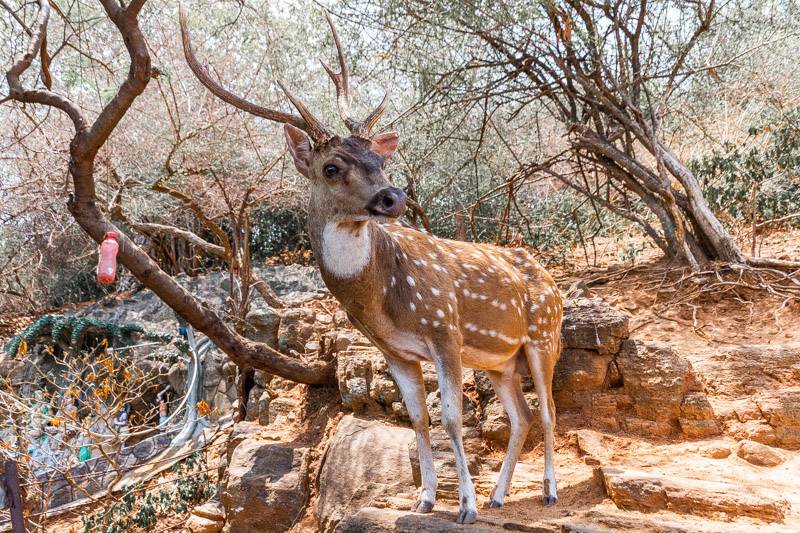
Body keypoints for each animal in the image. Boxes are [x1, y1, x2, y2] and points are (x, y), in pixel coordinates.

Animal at [179, 7, 563, 524]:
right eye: (331, 168)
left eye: (378, 159)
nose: (393, 196)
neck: (382, 298)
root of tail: (552, 280)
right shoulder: (394, 350)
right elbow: (419, 418)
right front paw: (426, 499)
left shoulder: (444, 327)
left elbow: (451, 417)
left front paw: (464, 506)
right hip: (501, 360)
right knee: (522, 416)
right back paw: (500, 496)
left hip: (544, 336)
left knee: (547, 411)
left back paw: (547, 492)